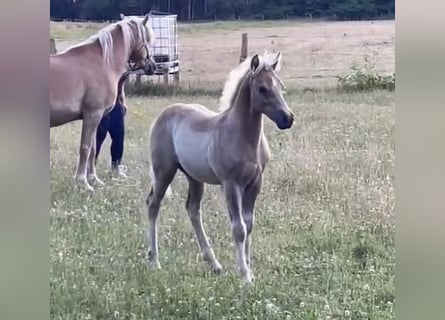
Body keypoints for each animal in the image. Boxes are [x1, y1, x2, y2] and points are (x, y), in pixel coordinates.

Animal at [50, 14, 156, 190]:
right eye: (147, 40)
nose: (152, 66)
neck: (103, 62)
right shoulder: (93, 115)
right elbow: (85, 148)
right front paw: (83, 182)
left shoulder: (97, 118)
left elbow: (93, 149)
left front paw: (93, 179)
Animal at [144, 52, 294, 284]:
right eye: (262, 89)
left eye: (280, 85)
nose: (288, 118)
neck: (243, 138)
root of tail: (164, 114)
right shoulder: (231, 185)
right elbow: (239, 228)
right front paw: (245, 277)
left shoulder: (255, 184)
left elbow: (249, 224)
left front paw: (249, 269)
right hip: (164, 172)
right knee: (153, 204)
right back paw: (154, 261)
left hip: (194, 177)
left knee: (193, 210)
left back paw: (214, 264)